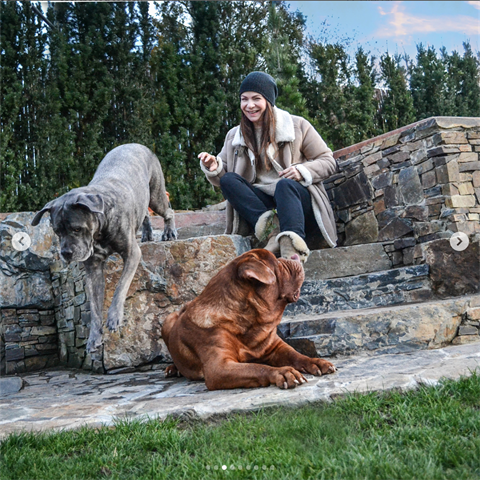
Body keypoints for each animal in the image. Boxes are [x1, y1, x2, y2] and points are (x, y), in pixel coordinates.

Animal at [32, 142, 177, 352]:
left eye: (77, 229)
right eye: (57, 231)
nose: (66, 253)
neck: (99, 229)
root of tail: (135, 143)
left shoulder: (132, 254)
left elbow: (120, 286)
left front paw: (114, 316)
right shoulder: (93, 268)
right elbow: (93, 306)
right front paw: (94, 337)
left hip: (156, 195)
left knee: (168, 210)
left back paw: (169, 232)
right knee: (145, 214)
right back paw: (148, 233)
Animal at [161, 248, 334, 390]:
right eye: (278, 263)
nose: (294, 256)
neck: (249, 323)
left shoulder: (275, 346)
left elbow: (295, 354)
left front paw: (316, 361)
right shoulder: (219, 367)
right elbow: (256, 368)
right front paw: (283, 372)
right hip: (167, 321)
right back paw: (172, 369)